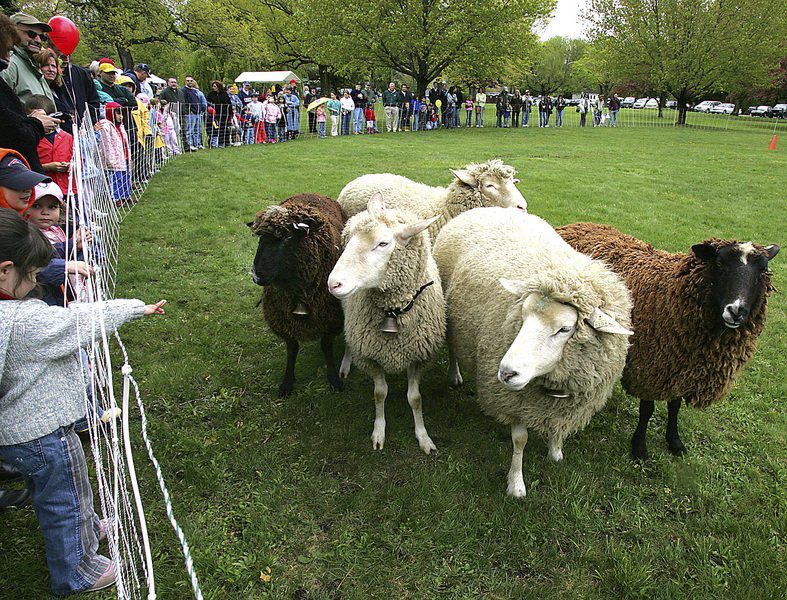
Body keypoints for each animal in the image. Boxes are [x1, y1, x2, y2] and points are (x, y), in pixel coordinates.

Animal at [249, 193, 348, 398]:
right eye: (260, 239)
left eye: (287, 237)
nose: (256, 275)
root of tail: (312, 194)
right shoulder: (283, 320)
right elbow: (292, 349)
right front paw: (287, 382)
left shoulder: (331, 319)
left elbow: (326, 347)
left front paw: (334, 379)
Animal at [328, 195, 450, 452]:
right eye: (351, 240)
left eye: (383, 243)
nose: (333, 284)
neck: (394, 311)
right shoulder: (371, 357)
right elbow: (379, 394)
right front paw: (379, 432)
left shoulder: (419, 358)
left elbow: (415, 398)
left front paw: (423, 436)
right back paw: (345, 363)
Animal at [430, 206, 636, 496]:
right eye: (523, 316)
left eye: (564, 329)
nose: (506, 373)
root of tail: (486, 208)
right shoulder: (514, 400)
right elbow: (520, 440)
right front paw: (516, 483)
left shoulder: (567, 402)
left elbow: (559, 427)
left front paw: (556, 451)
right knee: (452, 347)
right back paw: (455, 374)